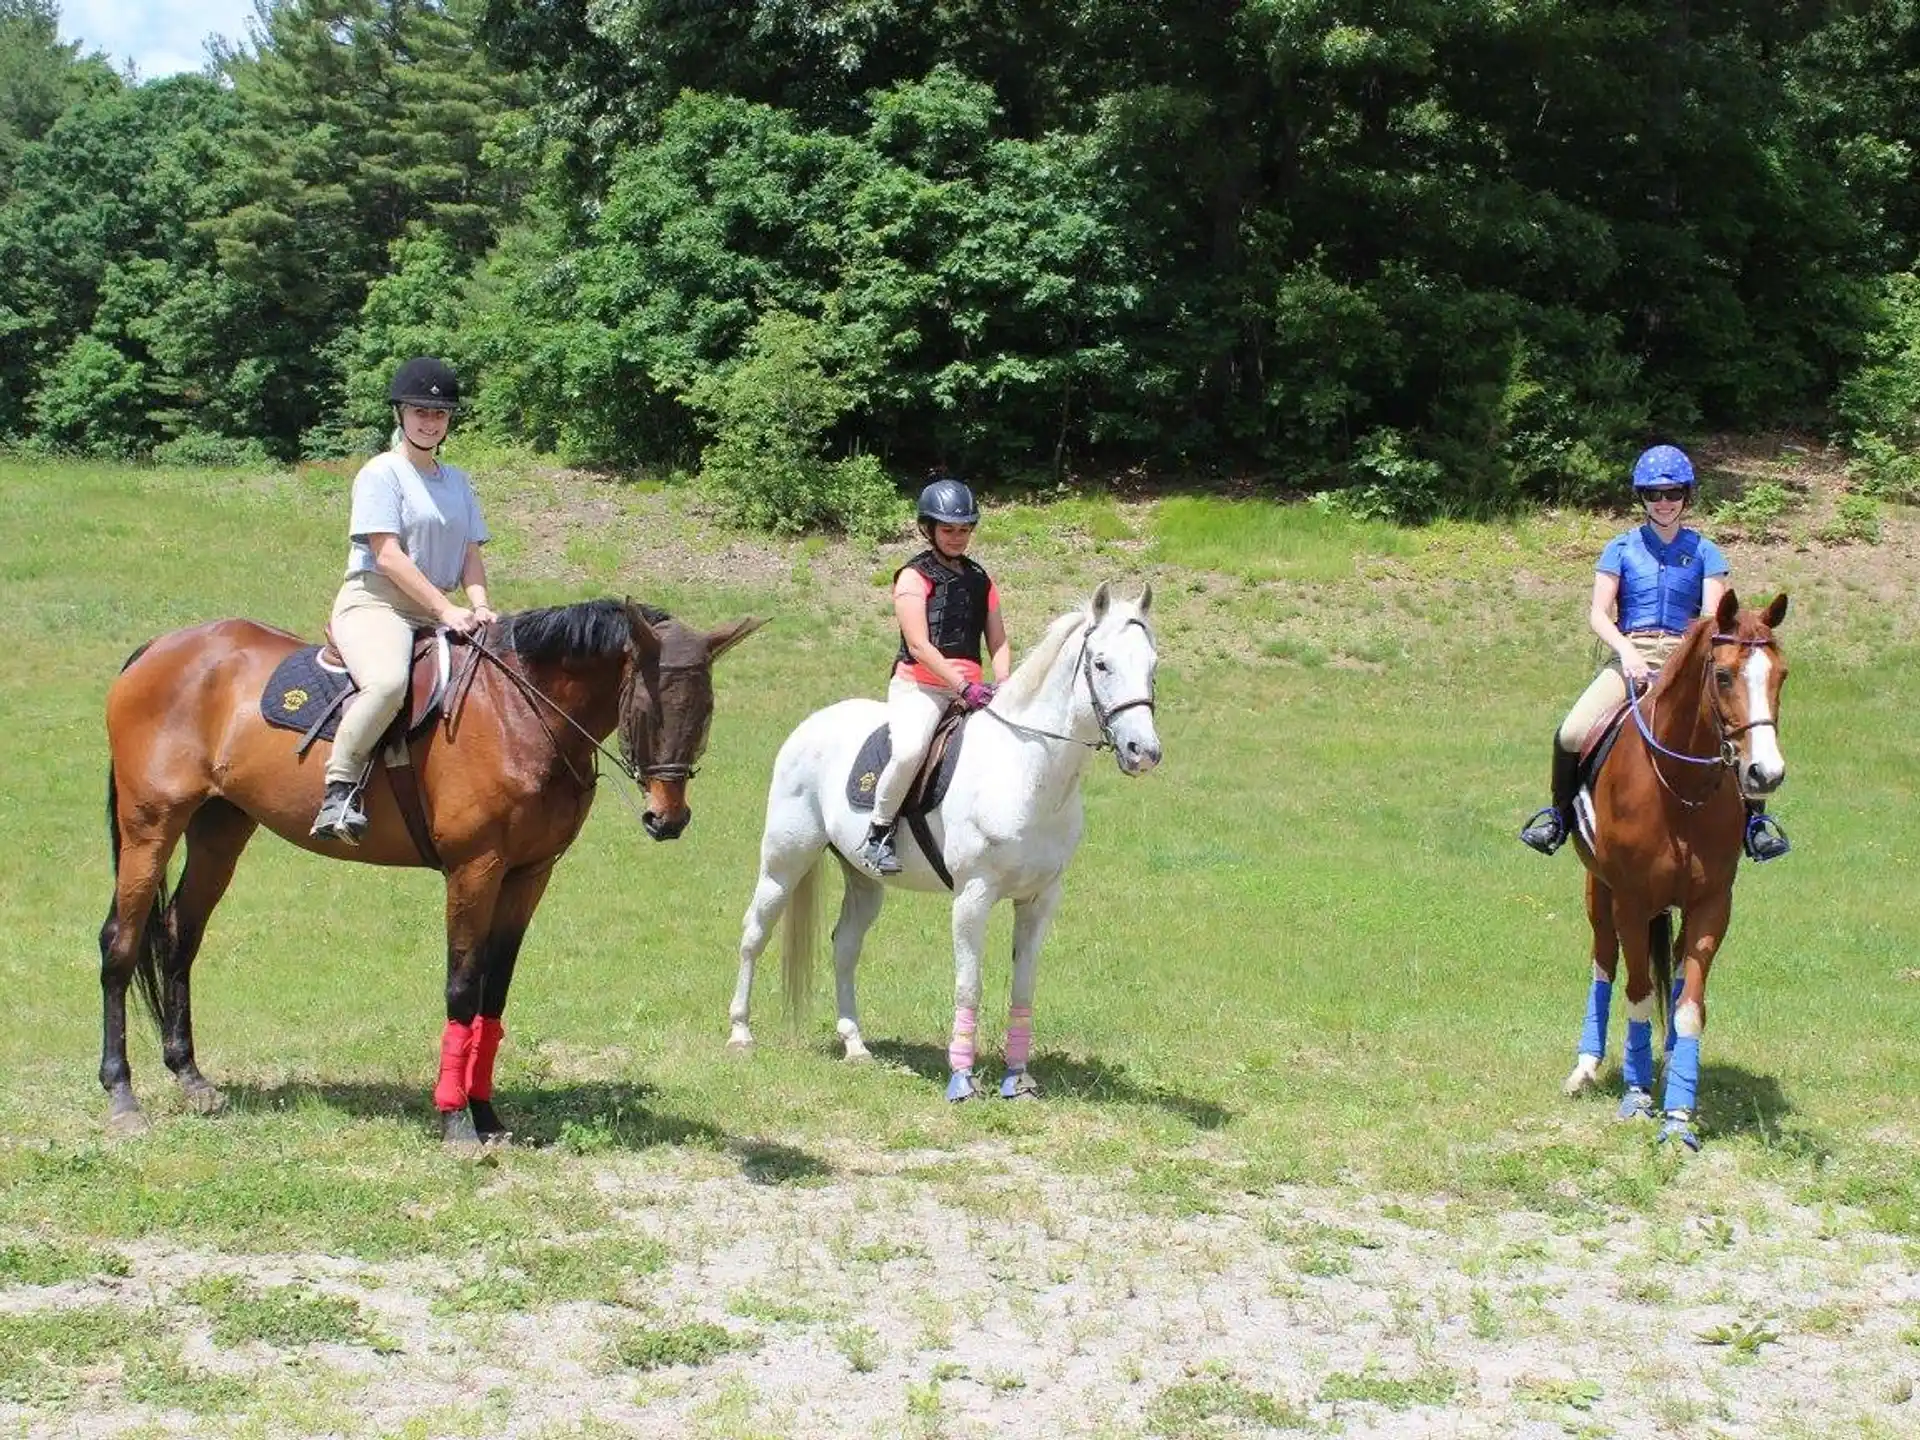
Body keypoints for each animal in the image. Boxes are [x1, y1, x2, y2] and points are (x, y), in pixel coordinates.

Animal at [100, 598, 763, 1146]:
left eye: (705, 711)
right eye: (647, 708)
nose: (667, 818)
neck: (519, 711)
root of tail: (160, 650)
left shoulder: (529, 874)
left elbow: (495, 991)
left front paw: (487, 1113)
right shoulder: (475, 869)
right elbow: (462, 986)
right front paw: (455, 1120)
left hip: (220, 829)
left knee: (180, 937)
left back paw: (191, 1077)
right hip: (150, 829)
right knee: (121, 944)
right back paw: (122, 1095)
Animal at [727, 581, 1161, 1101]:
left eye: (1153, 664)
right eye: (1101, 664)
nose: (1144, 752)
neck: (1025, 770)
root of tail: (813, 723)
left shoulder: (1039, 899)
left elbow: (1023, 987)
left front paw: (1018, 1079)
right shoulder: (973, 896)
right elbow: (968, 985)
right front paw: (961, 1080)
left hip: (863, 881)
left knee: (844, 946)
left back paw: (855, 1045)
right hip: (784, 861)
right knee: (754, 934)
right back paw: (740, 1034)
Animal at [1558, 590, 1789, 1149]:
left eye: (1782, 675)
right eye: (1723, 675)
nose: (1765, 774)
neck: (1679, 789)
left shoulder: (1713, 905)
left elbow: (1688, 1007)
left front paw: (1679, 1113)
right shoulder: (1631, 901)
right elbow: (1639, 996)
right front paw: (1638, 1099)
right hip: (1599, 892)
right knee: (1604, 963)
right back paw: (1587, 1066)